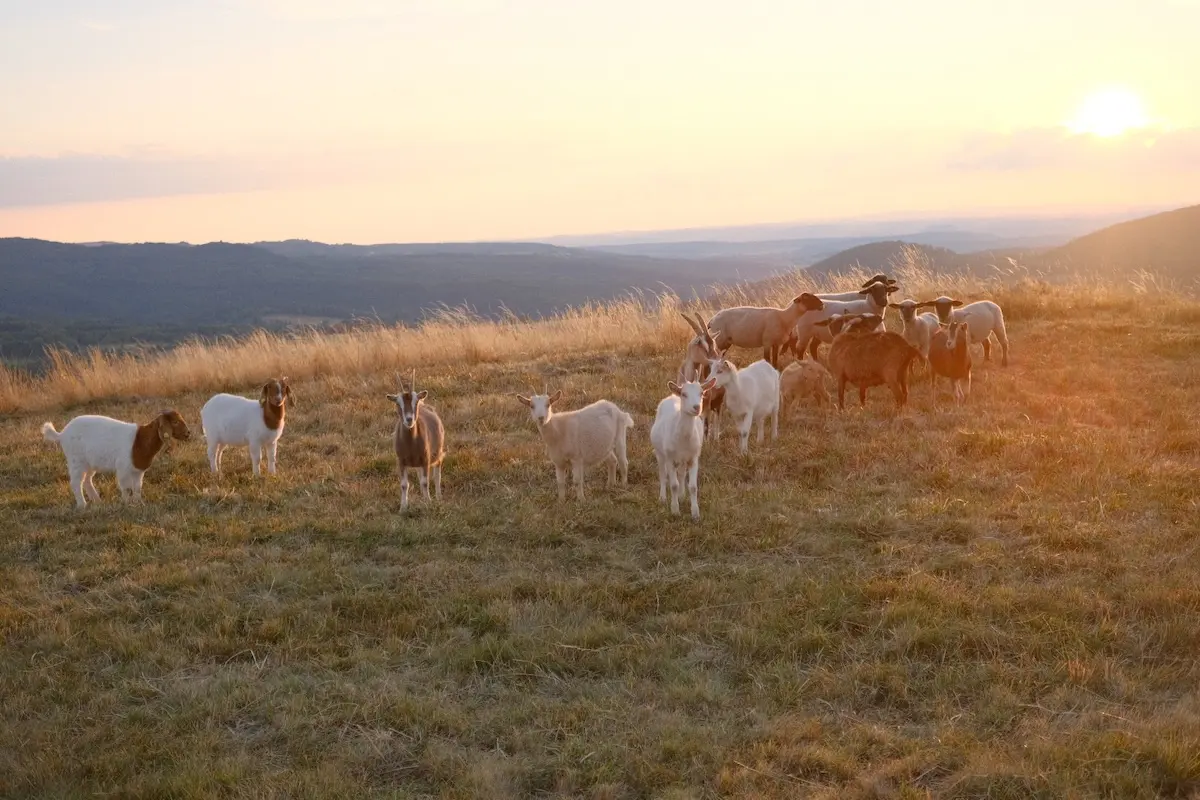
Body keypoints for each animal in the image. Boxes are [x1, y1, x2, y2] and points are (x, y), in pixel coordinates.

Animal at [41, 410, 192, 508]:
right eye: (175, 422)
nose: (188, 433)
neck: (140, 441)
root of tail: (62, 434)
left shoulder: (138, 471)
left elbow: (137, 488)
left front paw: (139, 503)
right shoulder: (123, 468)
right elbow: (126, 488)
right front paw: (125, 504)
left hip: (90, 463)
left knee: (87, 480)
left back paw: (97, 501)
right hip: (76, 461)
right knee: (76, 482)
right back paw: (82, 505)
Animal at [387, 371, 445, 512]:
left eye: (416, 401)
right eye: (398, 403)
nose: (409, 419)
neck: (410, 445)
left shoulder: (426, 460)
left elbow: (425, 482)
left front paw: (428, 502)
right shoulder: (401, 461)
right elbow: (404, 484)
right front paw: (403, 508)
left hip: (437, 454)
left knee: (437, 475)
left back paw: (438, 497)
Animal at [650, 377, 717, 520]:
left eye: (701, 393)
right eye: (684, 394)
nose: (696, 407)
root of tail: (672, 396)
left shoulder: (693, 457)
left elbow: (693, 486)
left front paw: (695, 514)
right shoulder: (670, 458)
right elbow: (673, 484)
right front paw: (675, 511)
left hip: (682, 459)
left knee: (681, 473)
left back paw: (681, 496)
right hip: (660, 453)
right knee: (662, 474)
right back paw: (662, 498)